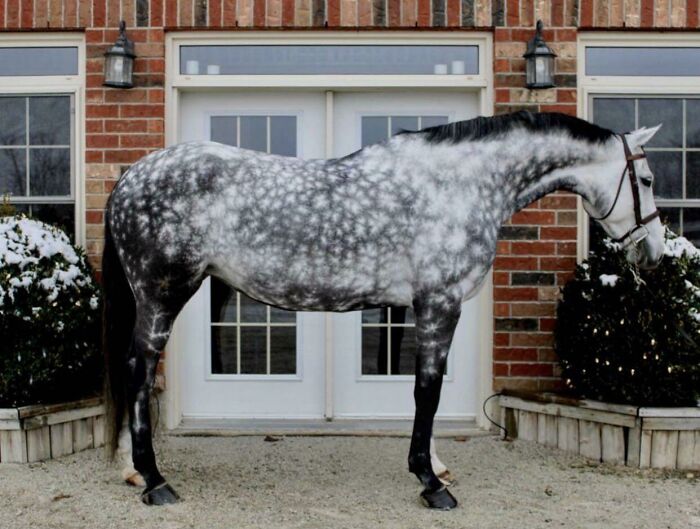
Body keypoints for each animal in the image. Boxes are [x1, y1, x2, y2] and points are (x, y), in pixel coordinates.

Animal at [102, 111, 664, 510]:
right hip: (163, 293)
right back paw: (154, 481)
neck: (460, 185)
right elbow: (428, 390)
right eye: (649, 180)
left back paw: (131, 470)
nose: (654, 253)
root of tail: (132, 176)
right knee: (137, 370)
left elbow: (416, 389)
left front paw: (434, 463)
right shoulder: (441, 303)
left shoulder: (411, 308)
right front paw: (431, 483)